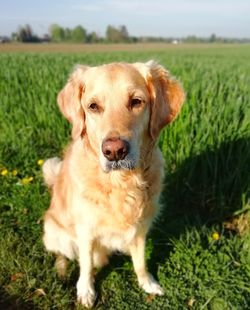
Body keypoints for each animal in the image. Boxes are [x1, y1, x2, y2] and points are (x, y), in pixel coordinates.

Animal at [42, 60, 185, 308]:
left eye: (136, 101)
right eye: (93, 106)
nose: (115, 151)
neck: (121, 184)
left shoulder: (140, 228)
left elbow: (140, 261)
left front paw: (148, 283)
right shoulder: (85, 230)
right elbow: (86, 265)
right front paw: (86, 292)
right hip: (55, 232)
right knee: (62, 253)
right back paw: (61, 271)